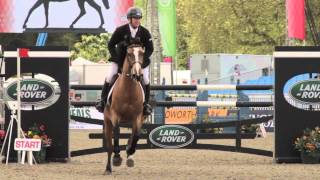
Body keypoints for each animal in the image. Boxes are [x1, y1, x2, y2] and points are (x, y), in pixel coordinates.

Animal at [103, 42, 146, 174]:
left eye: (142, 54)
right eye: (130, 54)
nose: (137, 75)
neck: (128, 90)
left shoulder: (137, 117)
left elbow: (137, 135)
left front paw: (130, 151)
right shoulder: (115, 116)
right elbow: (117, 133)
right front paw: (117, 157)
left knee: (132, 135)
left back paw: (129, 154)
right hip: (107, 122)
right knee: (109, 147)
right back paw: (108, 168)